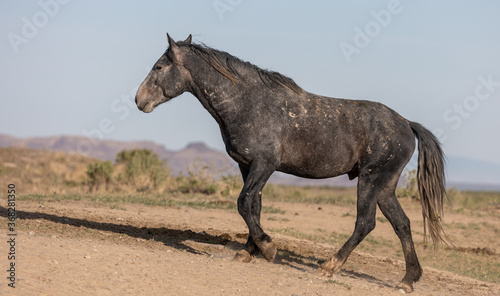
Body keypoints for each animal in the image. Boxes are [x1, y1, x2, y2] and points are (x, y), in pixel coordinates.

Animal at [134, 33, 450, 292]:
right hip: (385, 186)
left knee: (365, 223)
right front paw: (248, 251)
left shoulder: (264, 165)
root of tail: (407, 124)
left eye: (159, 67)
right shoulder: (247, 166)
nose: (139, 100)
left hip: (371, 180)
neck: (247, 103)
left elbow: (244, 202)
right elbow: (254, 206)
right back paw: (407, 280)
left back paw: (328, 267)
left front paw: (268, 248)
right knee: (402, 225)